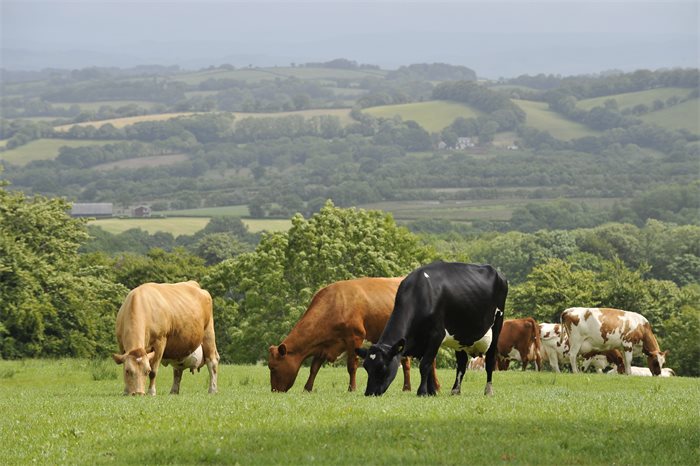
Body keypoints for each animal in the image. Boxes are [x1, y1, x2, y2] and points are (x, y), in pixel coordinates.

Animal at [268, 276, 438, 394]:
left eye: (273, 367)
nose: (274, 391)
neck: (334, 305)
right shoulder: (324, 344)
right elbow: (314, 368)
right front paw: (307, 389)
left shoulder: (355, 337)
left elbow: (352, 366)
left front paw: (352, 388)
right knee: (406, 363)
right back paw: (407, 388)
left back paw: (435, 386)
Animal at [358, 262, 506, 396]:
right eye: (366, 367)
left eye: (382, 367)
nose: (369, 393)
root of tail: (496, 272)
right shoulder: (421, 341)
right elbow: (428, 367)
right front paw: (431, 392)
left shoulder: (436, 335)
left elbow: (425, 365)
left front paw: (422, 392)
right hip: (460, 339)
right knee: (462, 363)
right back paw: (455, 390)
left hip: (497, 326)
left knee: (490, 360)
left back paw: (488, 391)